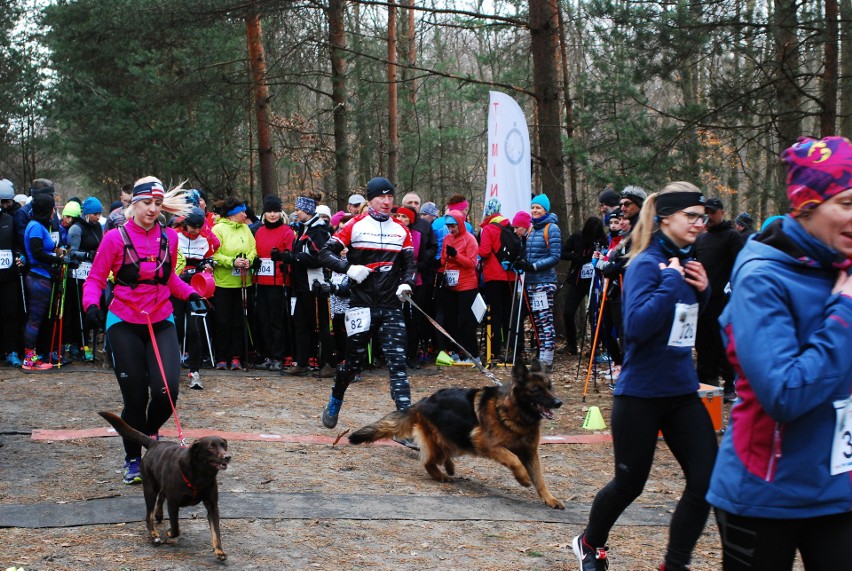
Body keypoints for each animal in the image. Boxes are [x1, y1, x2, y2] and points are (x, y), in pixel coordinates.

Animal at [99, 414, 231, 560]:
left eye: (224, 446)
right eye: (211, 447)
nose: (228, 456)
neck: (200, 475)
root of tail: (154, 443)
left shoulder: (212, 505)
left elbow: (216, 531)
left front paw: (219, 551)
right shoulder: (173, 503)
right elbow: (175, 527)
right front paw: (168, 533)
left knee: (161, 496)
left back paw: (159, 514)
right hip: (150, 489)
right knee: (149, 515)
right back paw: (154, 535)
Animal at [348, 358, 564, 510]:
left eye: (550, 387)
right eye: (536, 389)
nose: (558, 402)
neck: (514, 413)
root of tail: (423, 402)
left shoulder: (530, 452)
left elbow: (540, 479)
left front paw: (550, 499)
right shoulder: (487, 444)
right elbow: (513, 459)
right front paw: (523, 478)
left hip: (454, 440)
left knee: (442, 455)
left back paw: (449, 467)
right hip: (445, 441)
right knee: (428, 462)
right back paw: (442, 475)